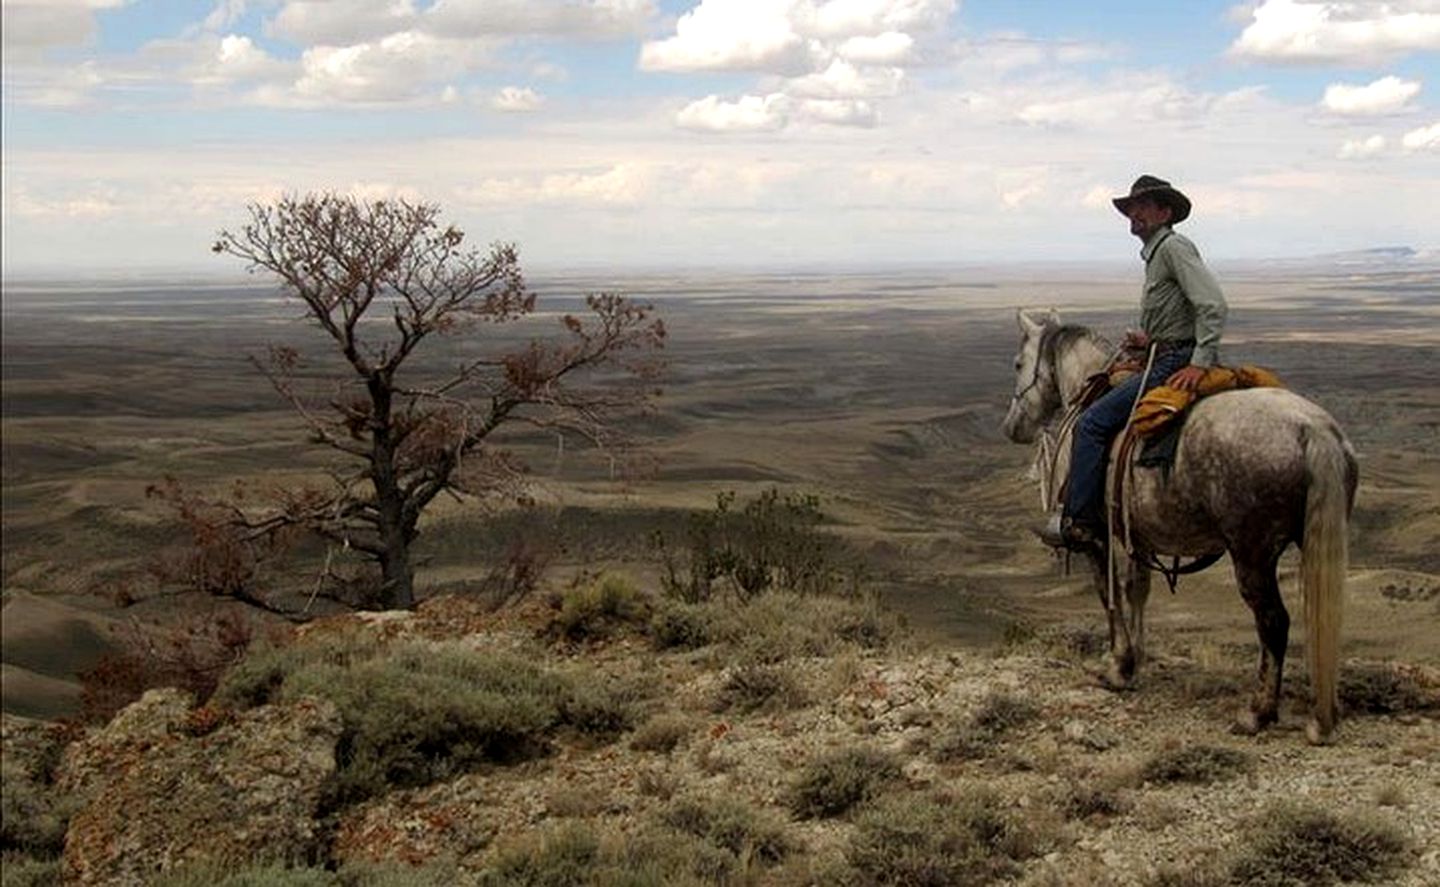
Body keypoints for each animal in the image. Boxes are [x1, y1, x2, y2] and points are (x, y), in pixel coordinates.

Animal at [996, 308, 1353, 743]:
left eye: (1018, 363)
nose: (1013, 427)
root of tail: (1313, 430)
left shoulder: (1096, 536)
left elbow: (1106, 591)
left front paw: (1117, 667)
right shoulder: (1141, 535)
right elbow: (1137, 589)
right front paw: (1138, 660)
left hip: (1252, 553)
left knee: (1273, 621)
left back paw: (1257, 713)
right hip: (1314, 542)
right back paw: (1320, 716)